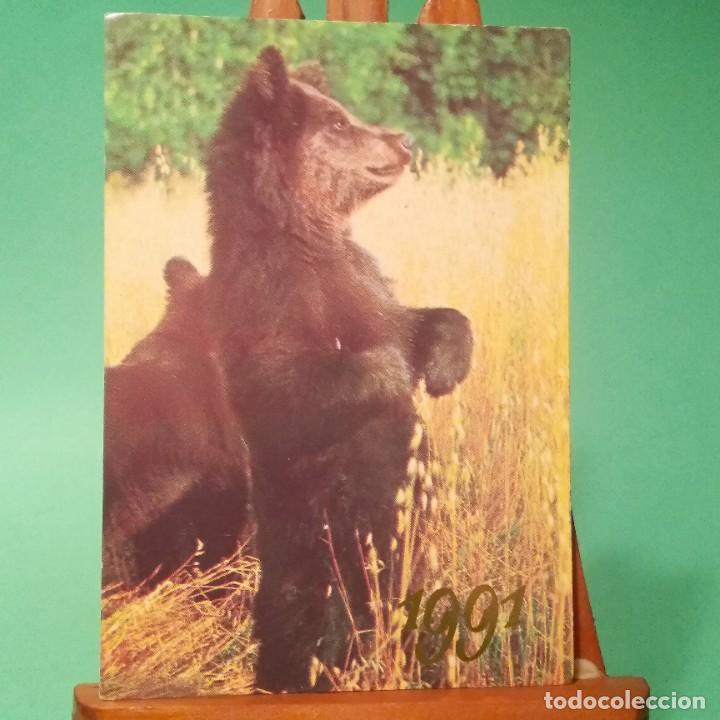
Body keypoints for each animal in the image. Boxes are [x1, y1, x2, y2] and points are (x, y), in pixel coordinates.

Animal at [204, 47, 474, 692]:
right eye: (338, 122)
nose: (403, 138)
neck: (306, 236)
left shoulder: (362, 284)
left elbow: (421, 319)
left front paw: (441, 365)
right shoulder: (268, 308)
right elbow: (296, 386)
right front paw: (396, 376)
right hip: (313, 562)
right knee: (308, 628)